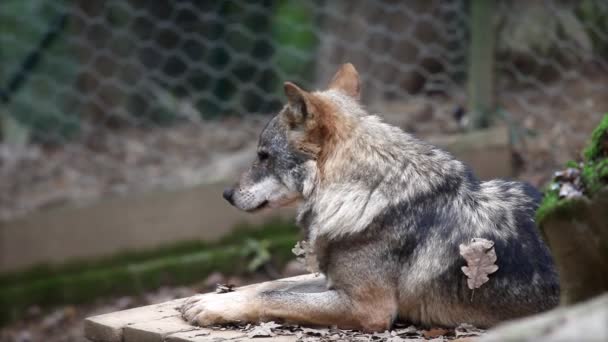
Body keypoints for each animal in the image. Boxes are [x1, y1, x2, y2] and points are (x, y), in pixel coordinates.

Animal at [180, 63, 560, 332]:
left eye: (263, 156)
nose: (226, 194)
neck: (366, 192)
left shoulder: (367, 308)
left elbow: (275, 294)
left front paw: (213, 308)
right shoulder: (335, 283)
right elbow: (270, 287)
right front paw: (209, 299)